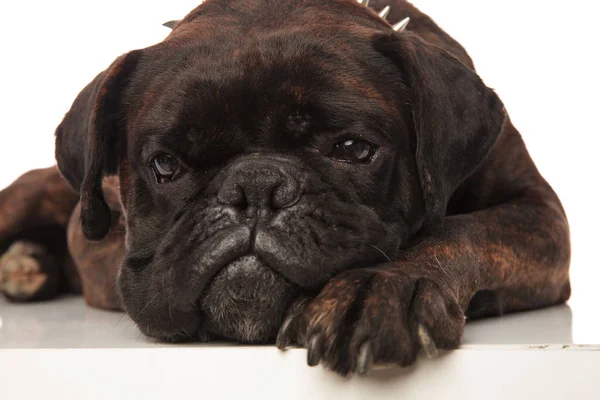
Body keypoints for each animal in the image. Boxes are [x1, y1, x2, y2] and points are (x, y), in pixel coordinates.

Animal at [1, 0, 572, 376]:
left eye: (354, 148)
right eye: (165, 164)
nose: (256, 187)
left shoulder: (539, 215)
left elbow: (460, 232)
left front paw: (384, 287)